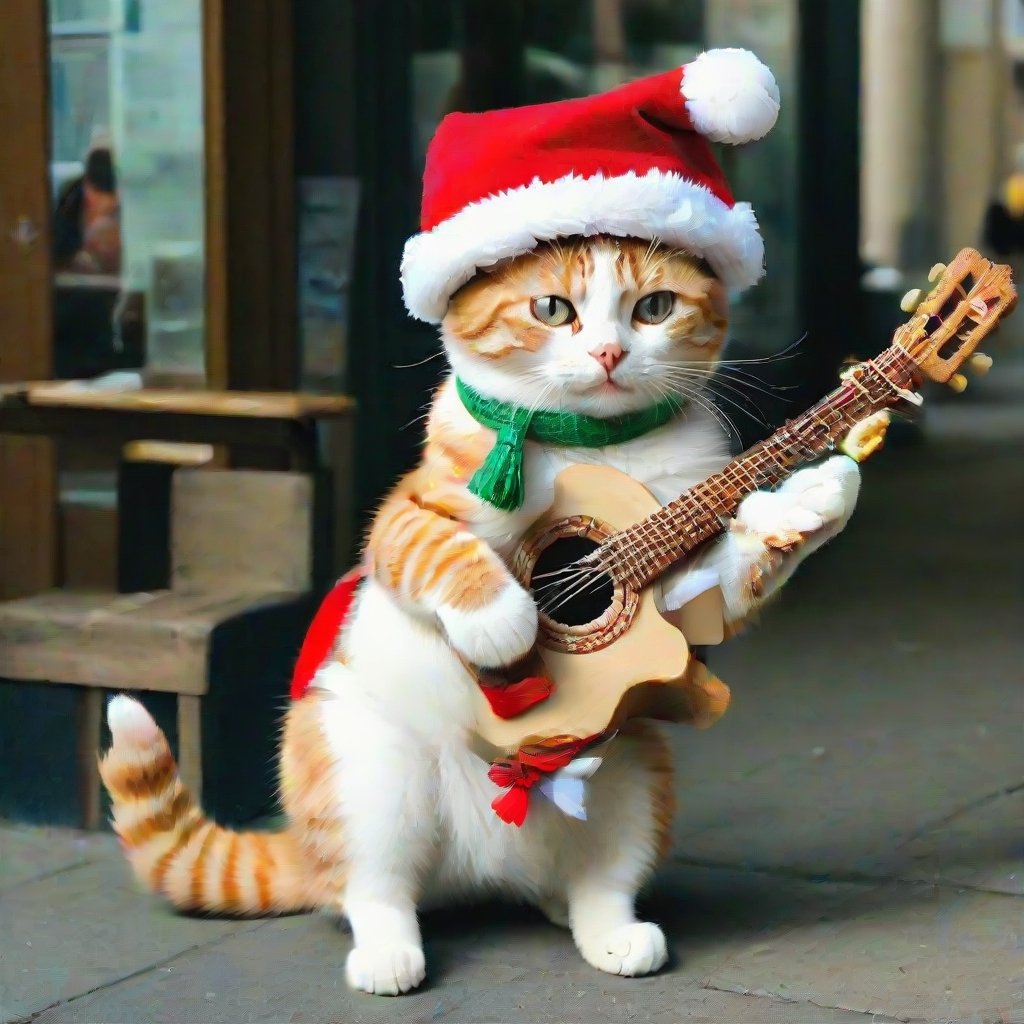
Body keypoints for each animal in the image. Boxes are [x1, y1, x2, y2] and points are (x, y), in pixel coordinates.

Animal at [99, 232, 860, 991]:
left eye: (656, 307)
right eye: (552, 308)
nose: (609, 354)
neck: (599, 445)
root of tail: (479, 874)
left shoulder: (690, 599)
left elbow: (736, 577)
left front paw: (812, 497)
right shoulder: (404, 515)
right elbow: (438, 550)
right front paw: (503, 620)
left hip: (638, 771)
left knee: (598, 884)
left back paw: (611, 932)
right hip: (365, 767)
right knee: (370, 889)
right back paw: (387, 953)